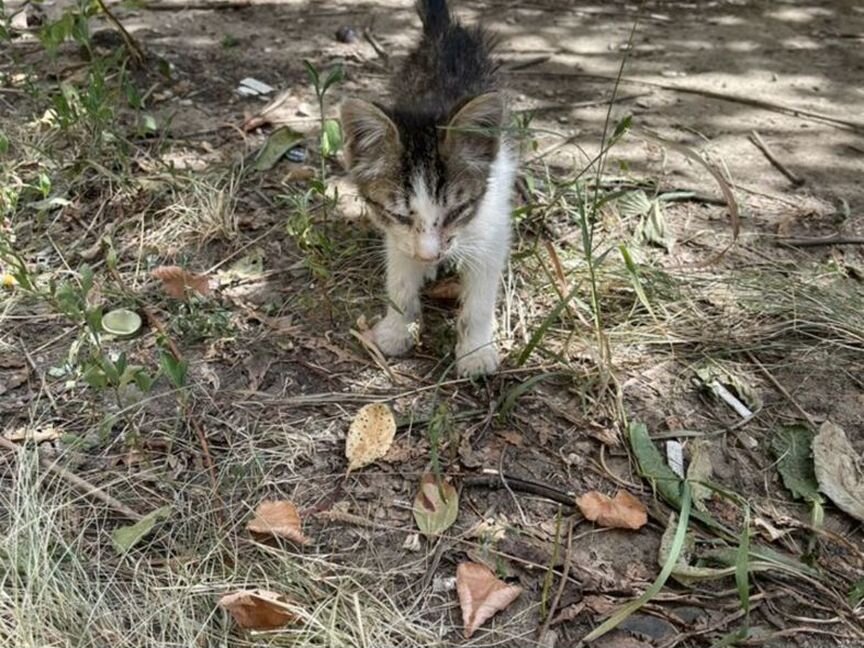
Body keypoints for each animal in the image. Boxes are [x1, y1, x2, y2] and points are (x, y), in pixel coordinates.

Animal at [340, 0, 516, 374]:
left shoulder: (492, 219)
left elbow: (482, 288)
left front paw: (476, 350)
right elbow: (400, 276)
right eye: (400, 215)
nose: (429, 254)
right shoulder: (396, 233)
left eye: (455, 211)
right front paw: (396, 328)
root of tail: (443, 32)